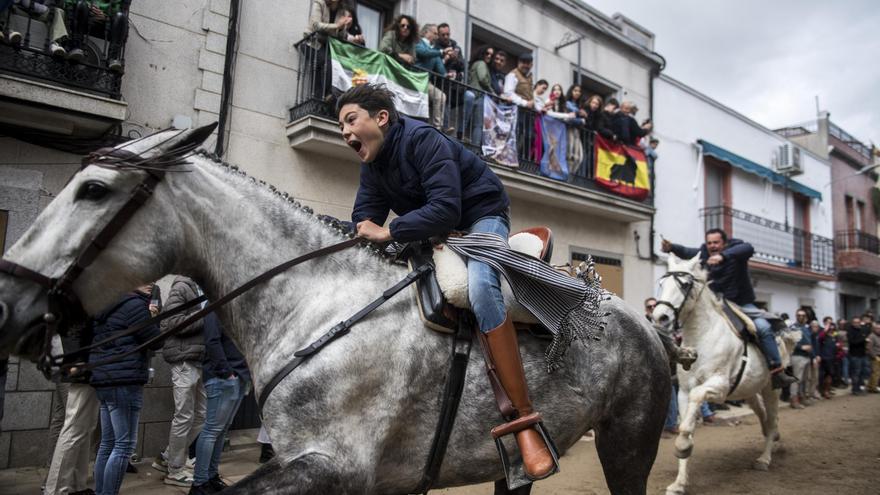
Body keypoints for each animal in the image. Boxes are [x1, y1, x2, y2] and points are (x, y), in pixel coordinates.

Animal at [0, 129, 672, 495]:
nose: (9, 305)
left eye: (94, 190)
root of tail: (643, 323)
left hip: (627, 443)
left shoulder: (332, 467)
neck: (314, 297)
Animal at [652, 254, 796, 495]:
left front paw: (682, 446)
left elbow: (691, 413)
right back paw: (772, 438)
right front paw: (679, 482)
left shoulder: (718, 387)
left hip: (771, 389)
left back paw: (764, 458)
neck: (703, 336)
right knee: (763, 415)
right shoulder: (683, 392)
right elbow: (685, 425)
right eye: (662, 283)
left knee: (773, 417)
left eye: (685, 284)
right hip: (749, 391)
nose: (660, 317)